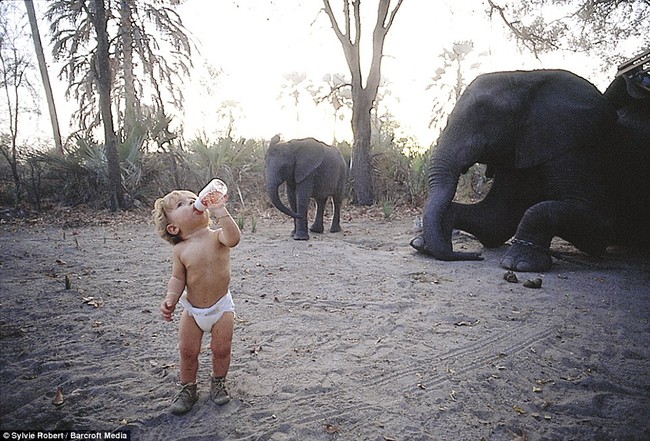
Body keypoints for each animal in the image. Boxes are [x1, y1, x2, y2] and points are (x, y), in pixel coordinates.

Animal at [410, 63, 648, 272]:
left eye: (484, 118)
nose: (475, 256)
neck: (528, 79)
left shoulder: (571, 144)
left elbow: (597, 227)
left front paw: (519, 265)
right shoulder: (522, 146)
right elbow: (494, 220)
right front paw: (423, 244)